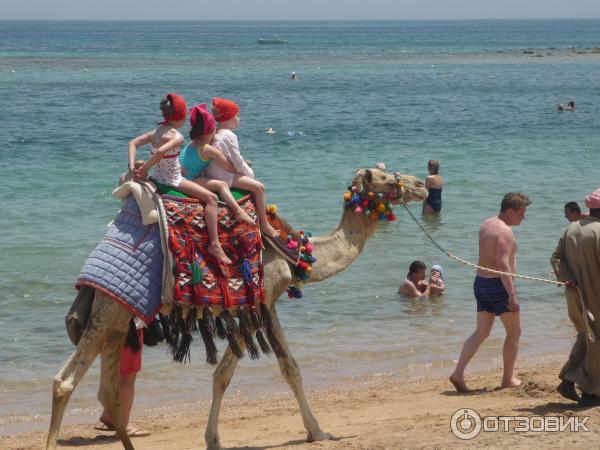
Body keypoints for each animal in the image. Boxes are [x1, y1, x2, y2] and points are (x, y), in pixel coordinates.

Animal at [48, 168, 426, 450]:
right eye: (384, 178)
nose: (421, 185)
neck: (295, 252)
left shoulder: (250, 307)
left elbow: (227, 374)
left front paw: (213, 438)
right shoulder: (264, 299)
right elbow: (285, 369)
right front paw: (318, 431)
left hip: (118, 321)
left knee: (108, 391)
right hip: (109, 311)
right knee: (65, 382)